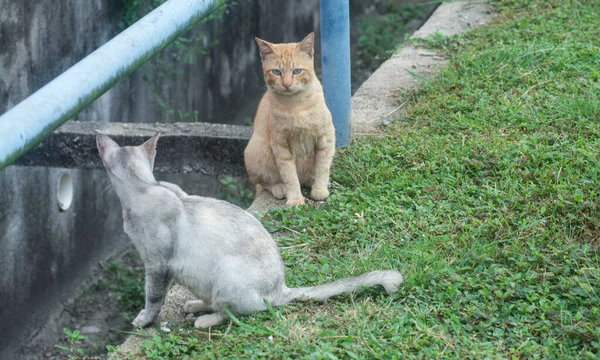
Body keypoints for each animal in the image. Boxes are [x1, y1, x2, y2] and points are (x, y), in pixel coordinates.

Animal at [97, 133, 404, 330]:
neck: (147, 186)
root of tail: (281, 288)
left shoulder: (157, 265)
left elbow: (153, 298)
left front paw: (143, 320)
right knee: (219, 304)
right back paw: (196, 305)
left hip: (226, 275)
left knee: (236, 311)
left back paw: (203, 320)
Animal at [245, 32, 338, 207]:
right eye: (276, 72)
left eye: (297, 71)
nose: (287, 84)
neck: (296, 106)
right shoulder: (281, 146)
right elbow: (289, 175)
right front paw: (295, 198)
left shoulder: (325, 137)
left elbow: (323, 167)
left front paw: (320, 189)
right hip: (258, 150)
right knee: (264, 183)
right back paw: (279, 188)